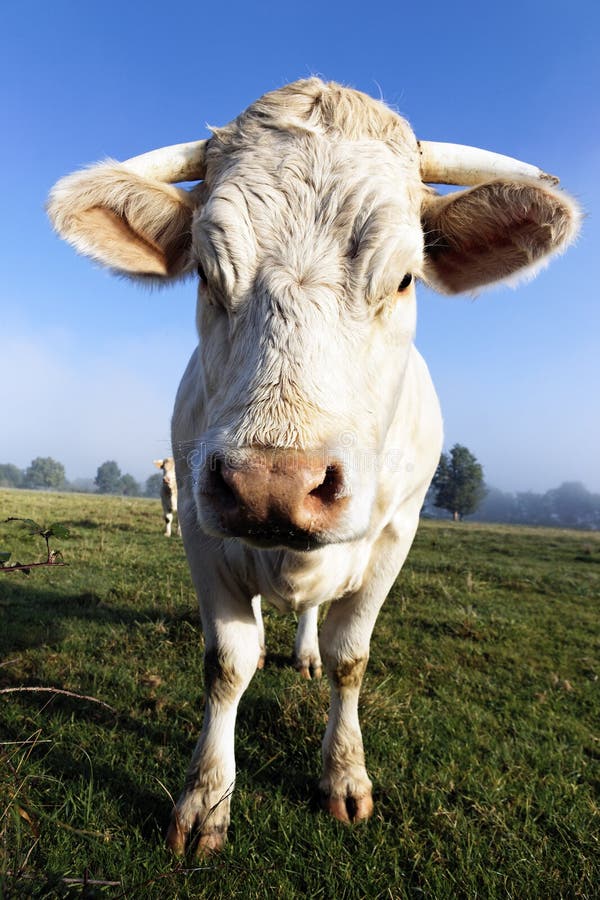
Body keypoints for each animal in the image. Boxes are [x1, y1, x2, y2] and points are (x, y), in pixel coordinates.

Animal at [47, 78, 580, 855]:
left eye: (405, 279)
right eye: (205, 273)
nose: (272, 485)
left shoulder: (396, 533)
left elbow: (349, 656)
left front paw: (344, 776)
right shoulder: (201, 529)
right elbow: (227, 663)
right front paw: (205, 799)